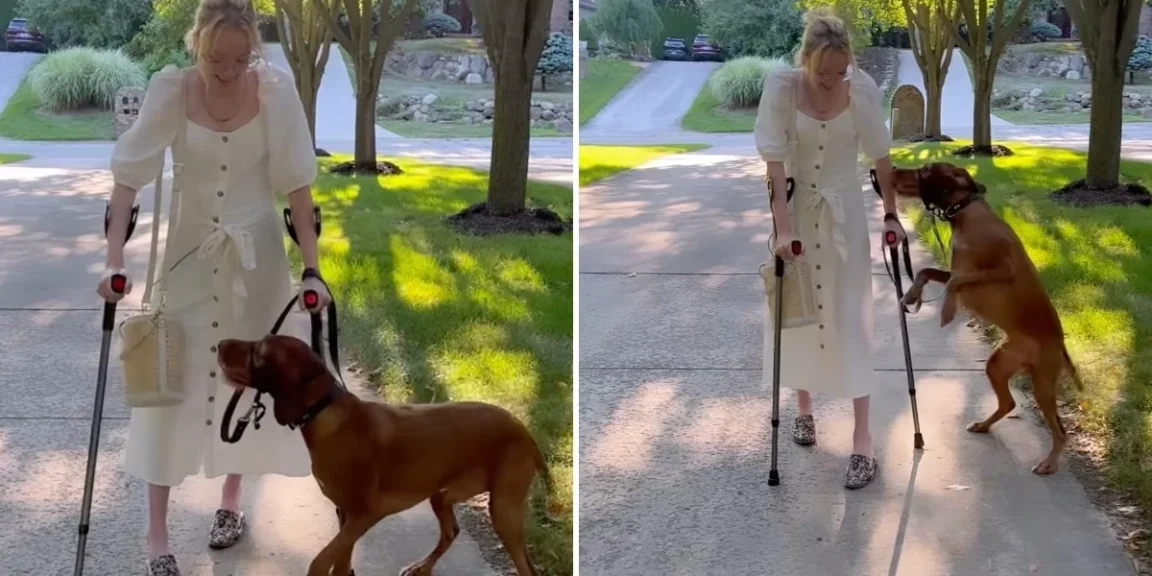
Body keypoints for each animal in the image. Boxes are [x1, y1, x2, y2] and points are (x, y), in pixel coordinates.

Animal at [889, 160, 1078, 474]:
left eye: (925, 169)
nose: (890, 167)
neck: (966, 214)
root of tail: (1061, 345)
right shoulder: (957, 270)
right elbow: (926, 272)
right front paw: (912, 296)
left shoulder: (1001, 271)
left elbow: (952, 284)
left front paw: (947, 309)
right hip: (998, 366)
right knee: (1009, 404)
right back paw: (983, 425)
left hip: (1042, 384)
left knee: (1060, 430)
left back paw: (1049, 462)